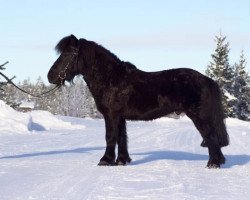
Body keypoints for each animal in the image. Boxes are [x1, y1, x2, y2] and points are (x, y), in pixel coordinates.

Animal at [47, 34, 229, 169]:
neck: (111, 78)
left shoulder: (111, 115)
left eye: (68, 54)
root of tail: (208, 80)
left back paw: (213, 164)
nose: (50, 76)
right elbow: (122, 138)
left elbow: (110, 137)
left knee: (210, 136)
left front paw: (105, 160)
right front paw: (121, 161)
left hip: (199, 116)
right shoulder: (119, 117)